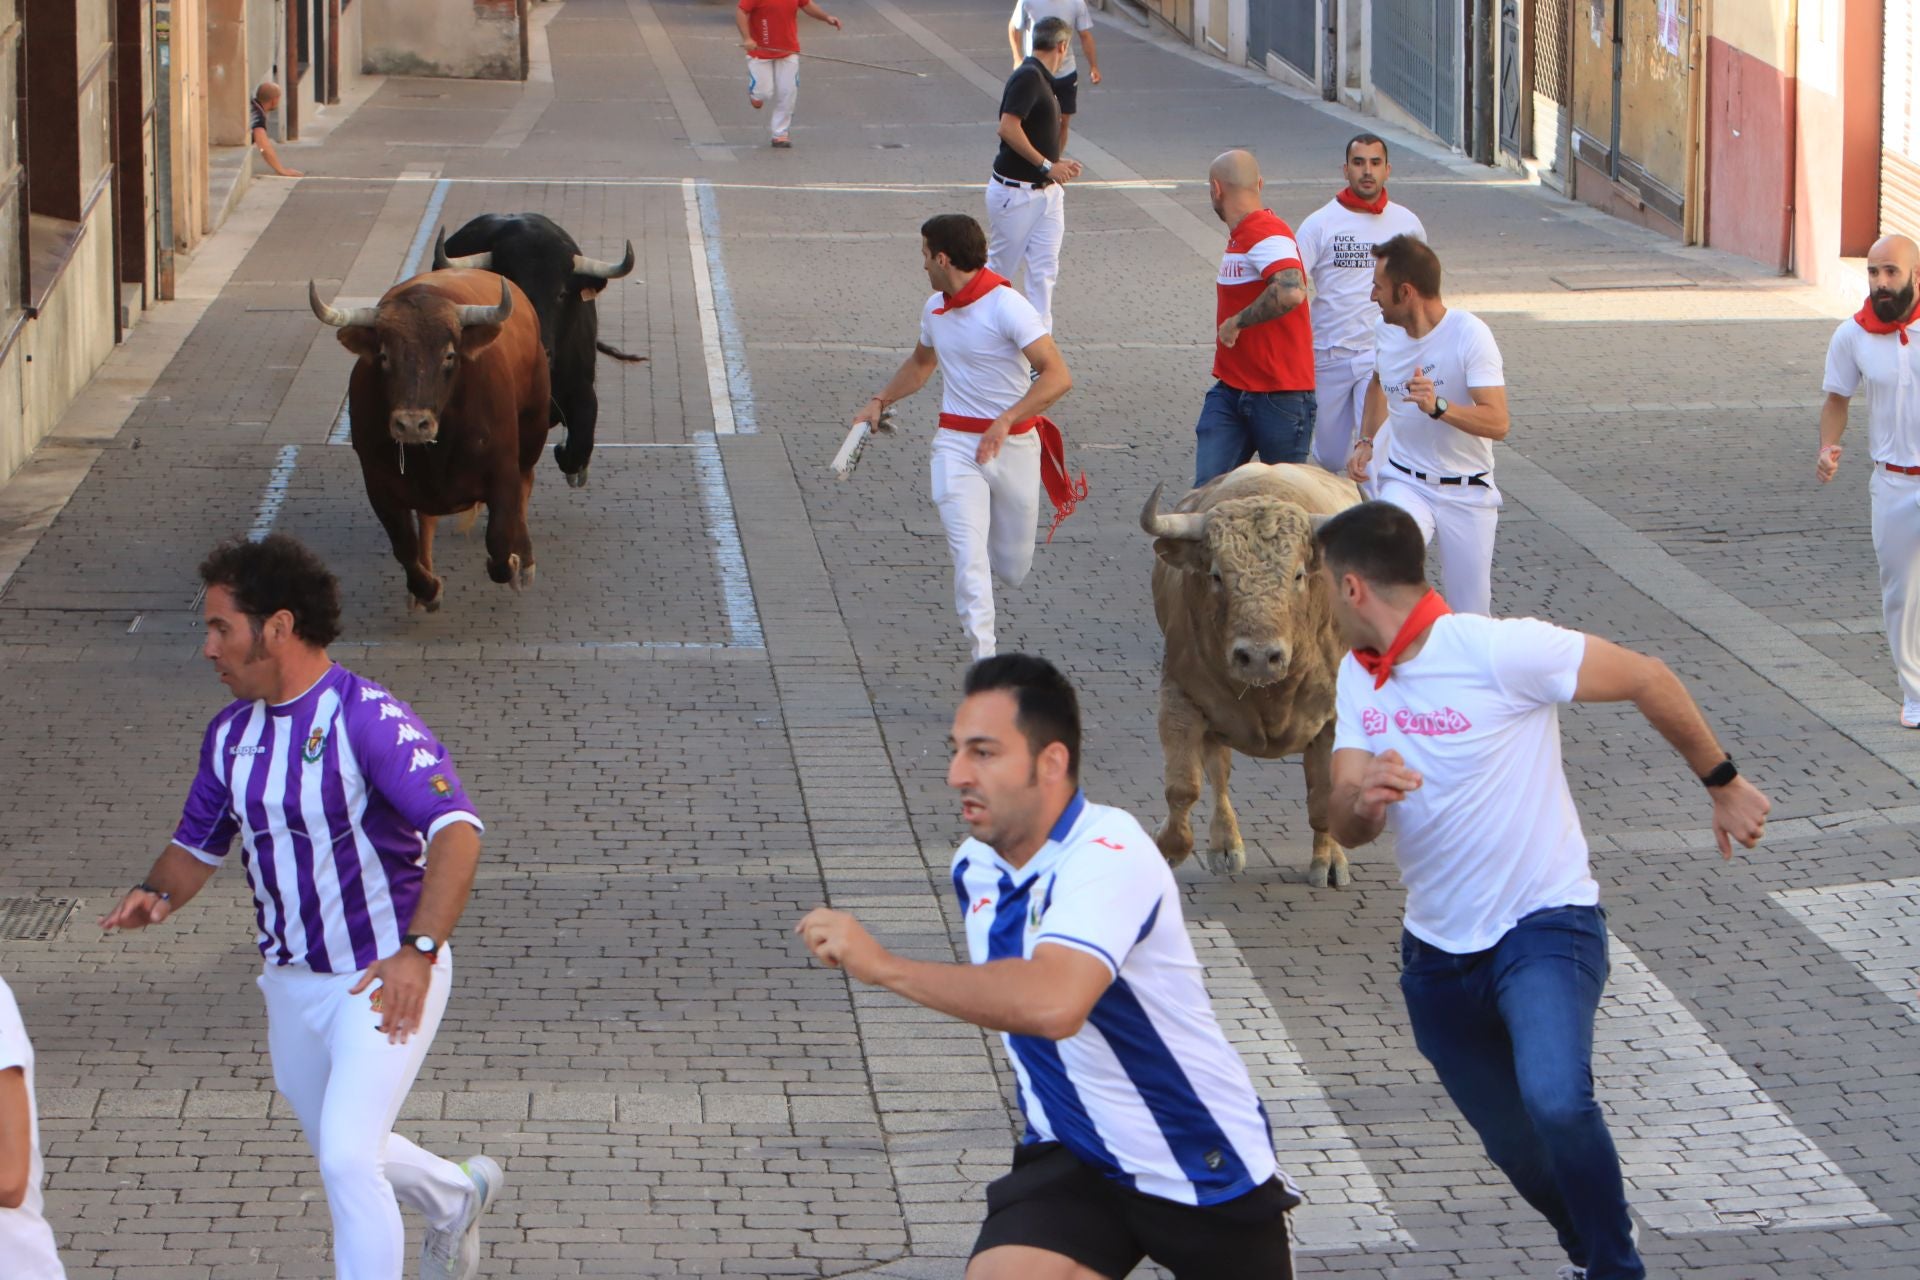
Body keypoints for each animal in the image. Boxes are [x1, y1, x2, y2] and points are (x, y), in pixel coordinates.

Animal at [307, 268, 549, 610]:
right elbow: (404, 546)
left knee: (526, 484)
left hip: (533, 431)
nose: (411, 423)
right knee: (426, 519)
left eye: (449, 355)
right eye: (384, 355)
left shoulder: (503, 473)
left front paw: (514, 563)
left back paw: (525, 562)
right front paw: (427, 589)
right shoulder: (379, 485)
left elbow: (499, 539)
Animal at [1136, 462, 1367, 890]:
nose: (1259, 657)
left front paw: (1328, 861)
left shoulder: (1332, 720)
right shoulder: (1180, 698)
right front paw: (1168, 845)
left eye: (1298, 575)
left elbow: (1324, 798)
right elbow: (1183, 787)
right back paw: (1225, 845)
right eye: (1215, 575)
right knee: (1218, 770)